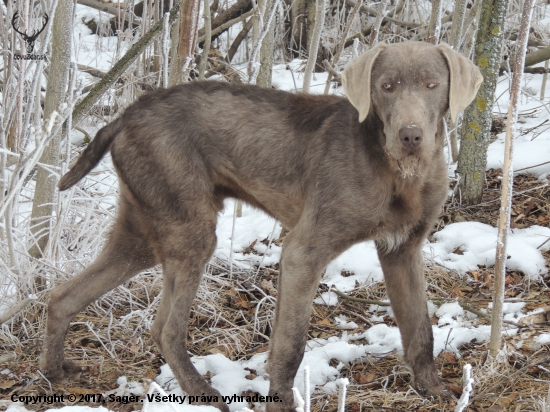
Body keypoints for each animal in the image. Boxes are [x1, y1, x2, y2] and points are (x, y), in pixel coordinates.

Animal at [42, 41, 484, 412]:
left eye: (432, 84)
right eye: (386, 86)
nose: (410, 136)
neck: (398, 172)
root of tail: (123, 117)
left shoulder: (402, 250)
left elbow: (420, 328)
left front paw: (434, 390)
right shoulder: (304, 251)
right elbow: (290, 344)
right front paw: (281, 403)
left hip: (141, 232)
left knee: (63, 296)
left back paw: (53, 373)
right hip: (189, 228)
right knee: (165, 329)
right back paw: (204, 394)